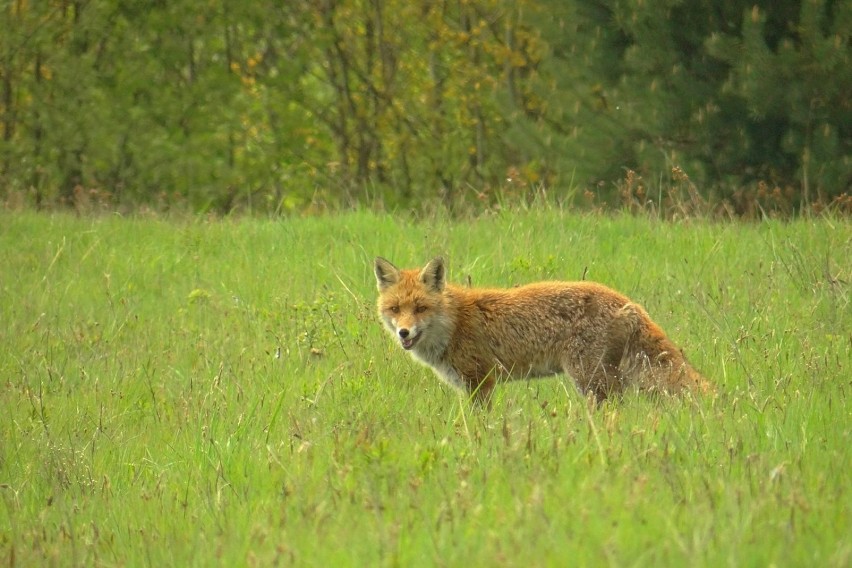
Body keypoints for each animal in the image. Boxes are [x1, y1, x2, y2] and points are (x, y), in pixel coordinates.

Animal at [374, 258, 712, 404]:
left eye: (420, 308)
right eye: (395, 309)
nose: (404, 333)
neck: (454, 323)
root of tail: (626, 300)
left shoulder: (480, 382)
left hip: (589, 379)